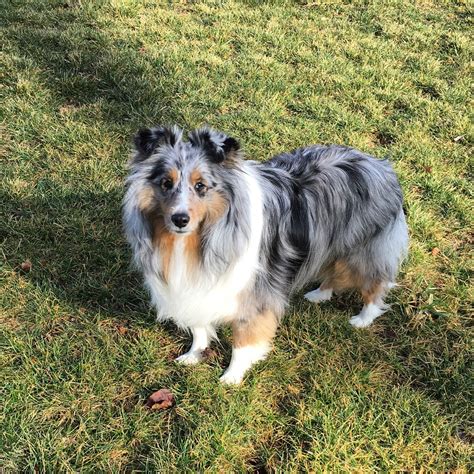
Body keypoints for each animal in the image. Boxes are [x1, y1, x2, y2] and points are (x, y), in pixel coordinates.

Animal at [124, 127, 410, 386]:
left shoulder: (254, 298)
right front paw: (194, 354)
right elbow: (199, 328)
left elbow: (242, 343)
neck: (196, 242)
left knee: (376, 282)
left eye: (201, 186)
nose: (180, 219)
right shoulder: (196, 287)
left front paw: (231, 377)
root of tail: (380, 164)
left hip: (363, 251)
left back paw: (363, 318)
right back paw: (320, 294)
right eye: (166, 183)